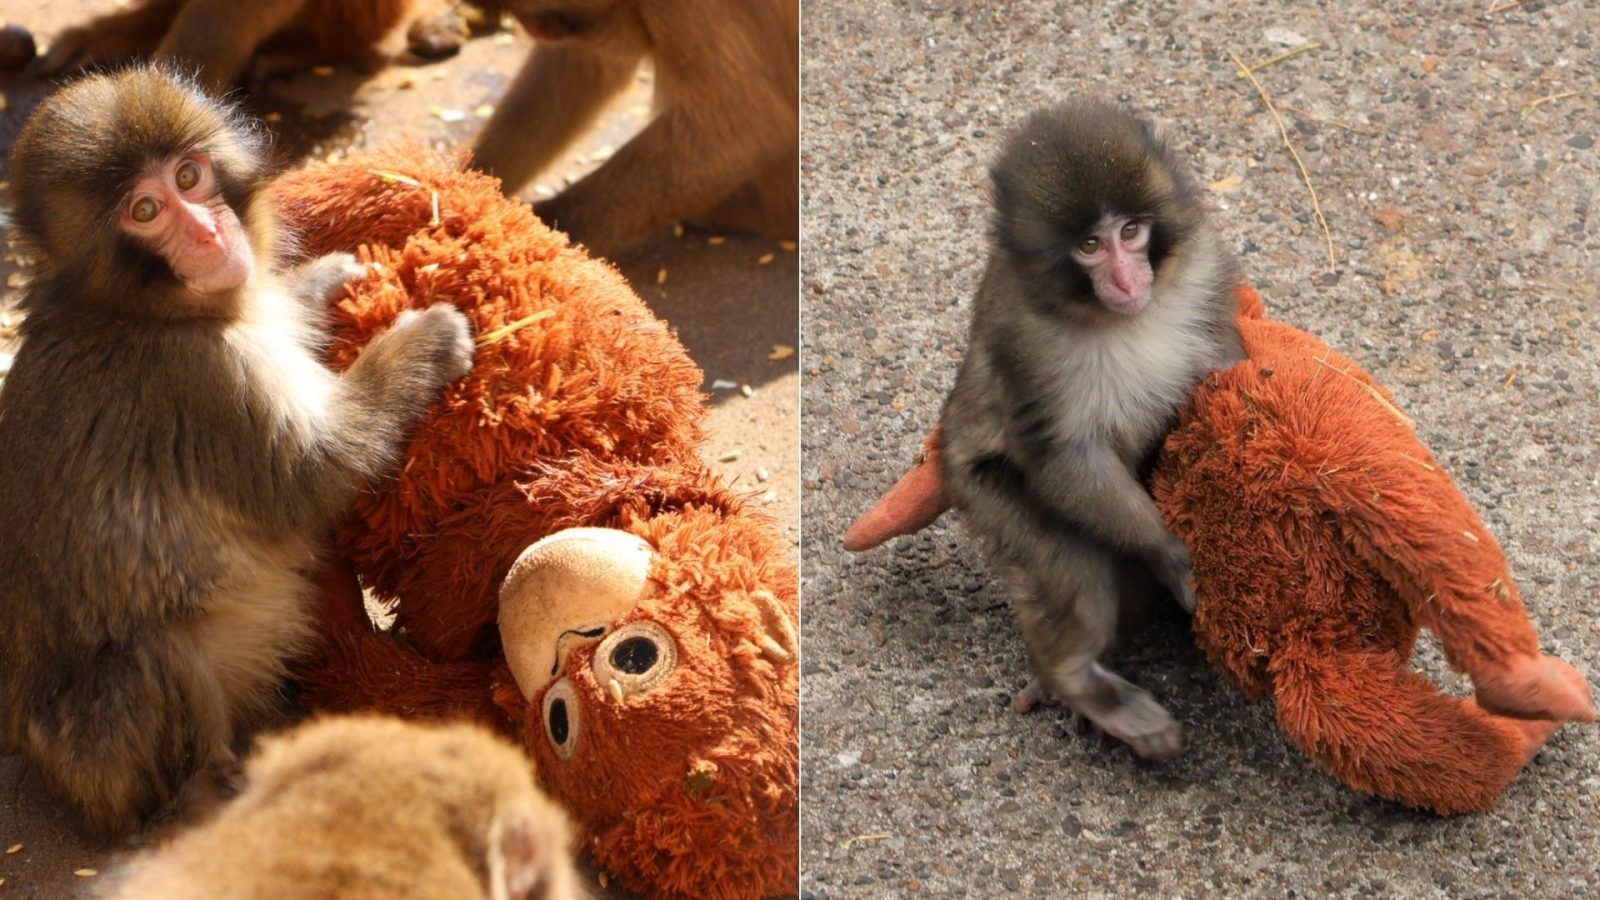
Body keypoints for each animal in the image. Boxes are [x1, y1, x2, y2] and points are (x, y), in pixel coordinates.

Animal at [0, 66, 475, 837]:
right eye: (144, 210)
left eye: (189, 176)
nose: (206, 231)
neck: (140, 309)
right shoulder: (201, 380)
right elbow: (314, 475)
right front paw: (424, 342)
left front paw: (322, 280)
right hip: (100, 757)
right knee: (153, 656)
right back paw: (204, 794)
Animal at [938, 99, 1244, 760]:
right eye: (1088, 245)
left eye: (1130, 233)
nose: (1128, 281)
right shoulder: (1024, 339)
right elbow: (1063, 456)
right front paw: (1168, 551)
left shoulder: (1204, 271)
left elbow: (1227, 368)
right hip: (981, 493)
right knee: (1076, 573)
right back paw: (1075, 680)